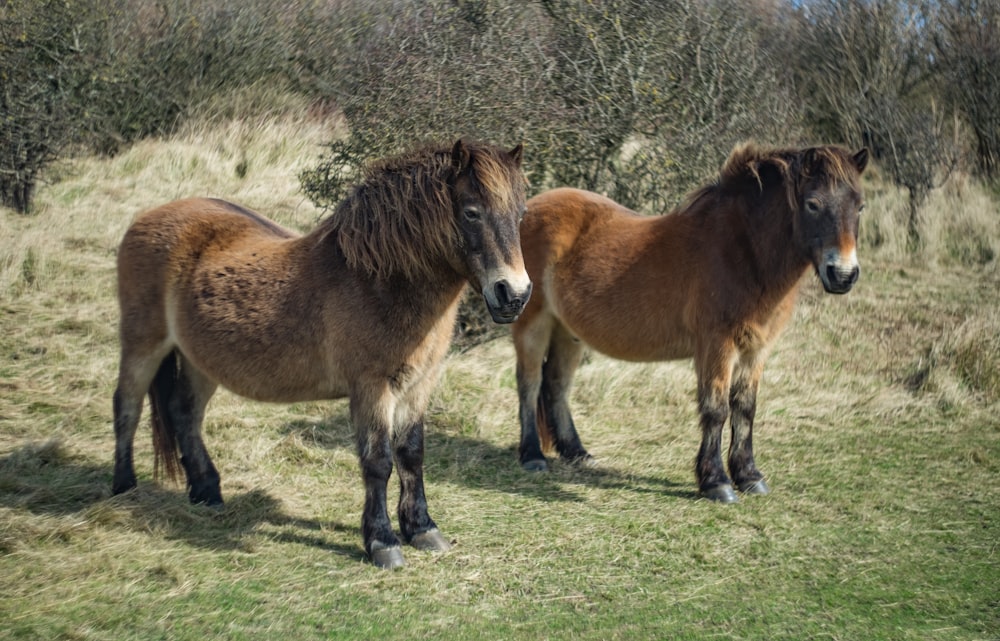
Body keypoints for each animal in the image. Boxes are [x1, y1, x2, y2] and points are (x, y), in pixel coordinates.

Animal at [110, 139, 532, 564]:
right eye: (471, 212)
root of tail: (145, 219)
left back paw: (207, 492)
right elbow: (378, 462)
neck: (377, 282)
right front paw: (383, 543)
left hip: (200, 361)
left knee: (185, 414)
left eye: (521, 213)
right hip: (143, 344)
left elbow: (412, 454)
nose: (513, 294)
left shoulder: (418, 385)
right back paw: (124, 489)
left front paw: (423, 529)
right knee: (127, 407)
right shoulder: (371, 388)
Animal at [516, 142, 868, 502]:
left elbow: (745, 408)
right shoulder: (717, 346)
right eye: (813, 204)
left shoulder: (756, 350)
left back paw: (577, 453)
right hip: (533, 325)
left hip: (568, 331)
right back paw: (532, 456)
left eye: (860, 206)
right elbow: (716, 409)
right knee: (529, 384)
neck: (742, 252)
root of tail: (530, 207)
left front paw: (749, 476)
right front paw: (716, 482)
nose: (843, 275)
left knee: (557, 385)